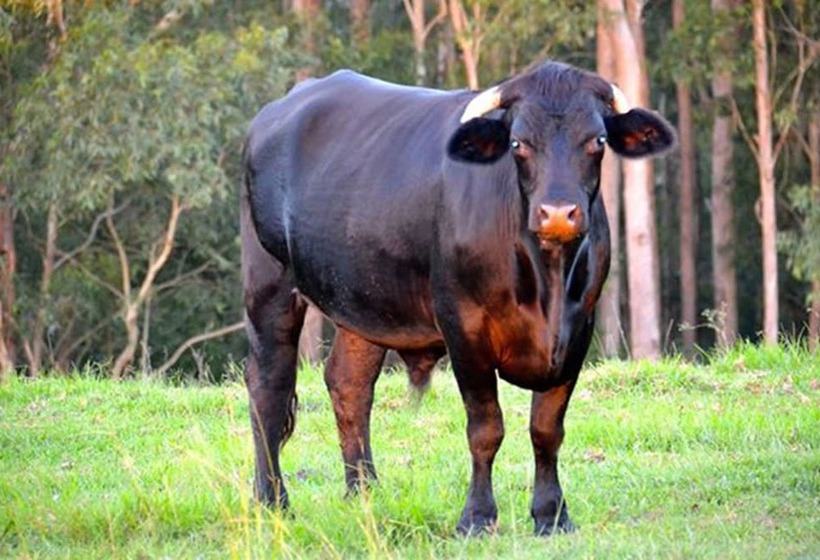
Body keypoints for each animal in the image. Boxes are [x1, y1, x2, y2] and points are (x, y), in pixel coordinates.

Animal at [241, 60, 675, 536]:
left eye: (597, 140)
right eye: (518, 142)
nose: (558, 214)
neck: (546, 283)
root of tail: (280, 108)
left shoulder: (579, 330)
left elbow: (546, 429)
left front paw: (552, 514)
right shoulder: (463, 328)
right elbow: (486, 428)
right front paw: (477, 517)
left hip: (362, 300)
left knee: (348, 383)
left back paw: (365, 493)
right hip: (268, 283)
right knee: (268, 389)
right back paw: (272, 501)